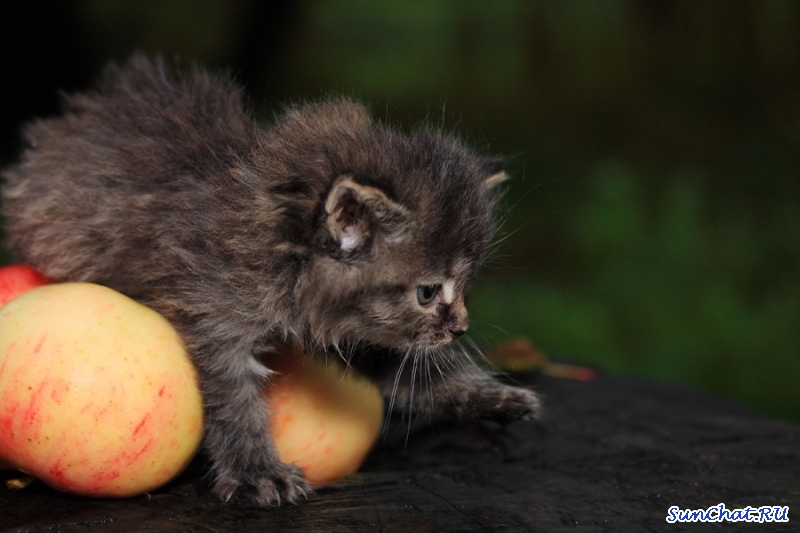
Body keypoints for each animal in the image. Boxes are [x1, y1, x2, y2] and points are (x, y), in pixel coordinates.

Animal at [0, 56, 540, 504]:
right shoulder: (215, 320)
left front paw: (494, 397)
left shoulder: (357, 331)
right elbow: (236, 403)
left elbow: (419, 375)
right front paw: (257, 472)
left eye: (464, 285)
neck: (277, 240)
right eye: (428, 292)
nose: (461, 328)